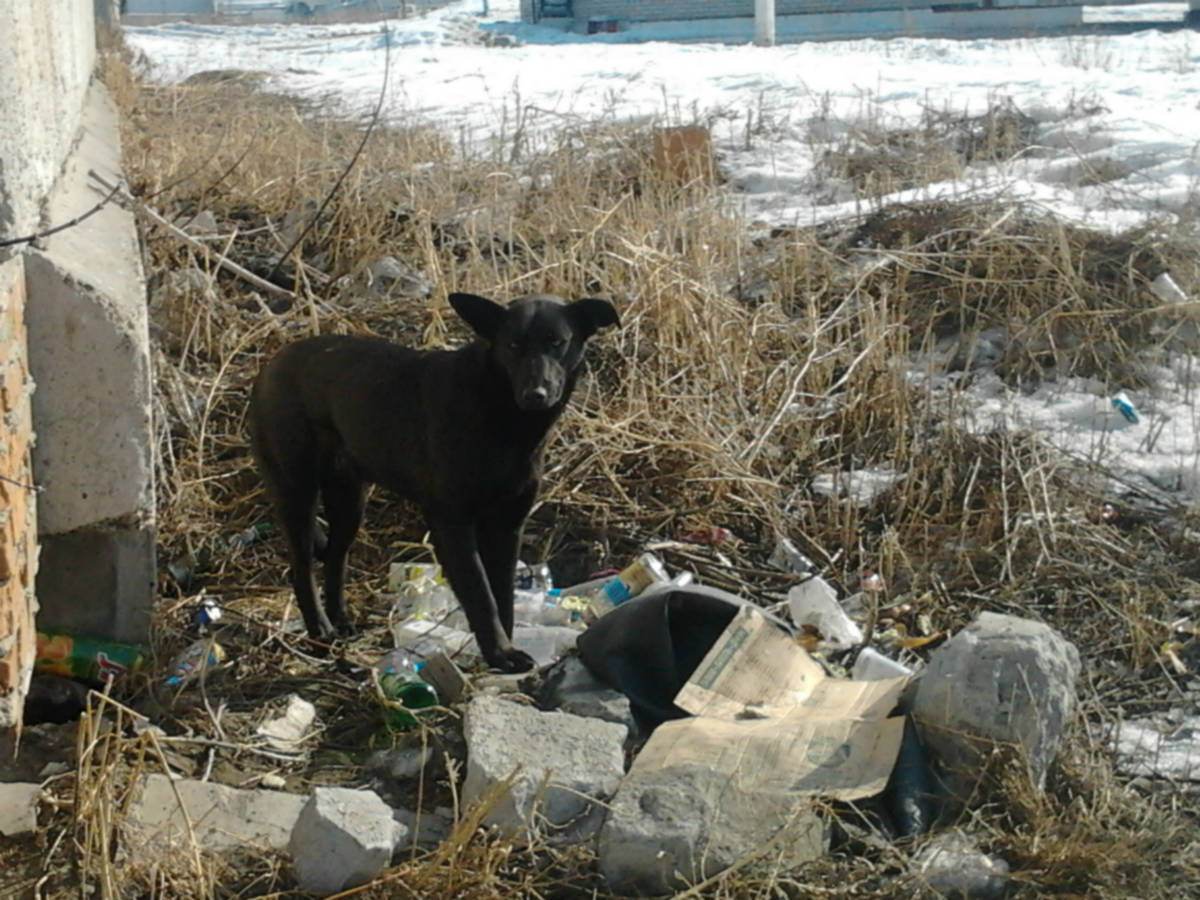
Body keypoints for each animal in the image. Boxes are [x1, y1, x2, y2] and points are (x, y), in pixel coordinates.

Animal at [244, 292, 619, 672]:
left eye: (557, 342)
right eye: (512, 344)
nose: (535, 394)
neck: (498, 408)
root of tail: (272, 364)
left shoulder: (507, 525)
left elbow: (502, 596)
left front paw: (502, 651)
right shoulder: (450, 521)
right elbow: (481, 594)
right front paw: (500, 652)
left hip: (349, 501)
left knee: (336, 557)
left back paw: (341, 621)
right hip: (297, 491)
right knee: (302, 567)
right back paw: (320, 632)